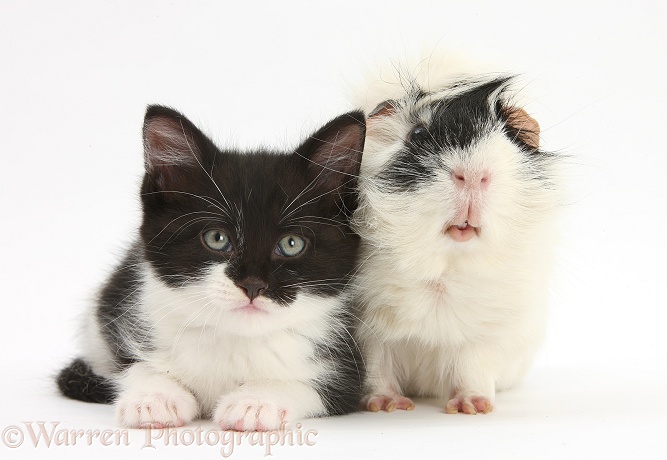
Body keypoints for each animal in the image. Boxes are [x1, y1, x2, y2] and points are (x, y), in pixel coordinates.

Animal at [58, 106, 368, 430]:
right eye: (217, 239)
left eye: (291, 243)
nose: (253, 284)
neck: (234, 338)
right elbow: (132, 367)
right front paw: (154, 396)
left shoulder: (347, 371)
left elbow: (317, 386)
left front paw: (257, 401)